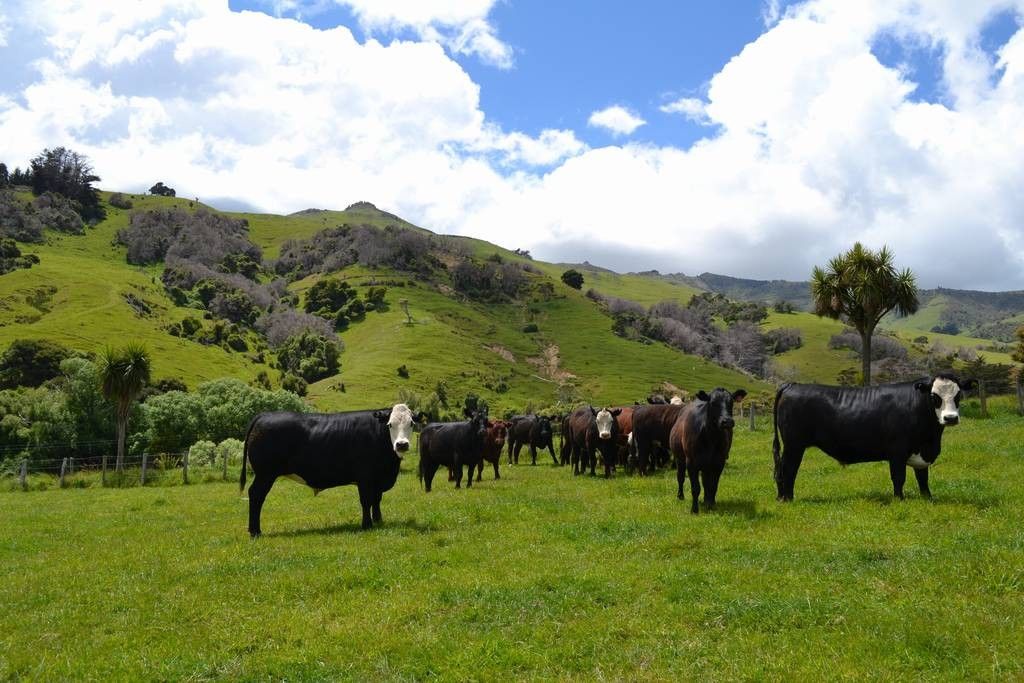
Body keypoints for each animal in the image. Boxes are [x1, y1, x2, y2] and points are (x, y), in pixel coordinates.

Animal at [239, 403, 419, 536]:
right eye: (390, 424)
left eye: (411, 423)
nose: (402, 444)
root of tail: (264, 415)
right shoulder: (365, 477)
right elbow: (366, 501)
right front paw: (367, 525)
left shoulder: (377, 479)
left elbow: (376, 499)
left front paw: (378, 521)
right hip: (265, 474)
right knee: (256, 495)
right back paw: (255, 531)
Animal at [770, 374, 978, 501]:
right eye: (935, 396)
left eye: (958, 395)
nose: (950, 418)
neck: (930, 439)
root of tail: (793, 385)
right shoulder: (897, 452)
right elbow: (899, 477)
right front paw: (899, 499)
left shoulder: (921, 452)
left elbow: (923, 478)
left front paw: (928, 498)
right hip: (794, 445)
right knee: (787, 469)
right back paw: (788, 499)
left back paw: (781, 497)